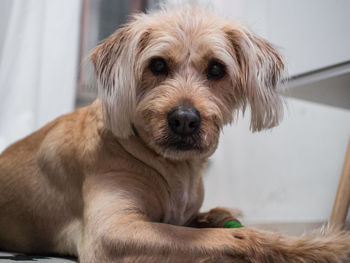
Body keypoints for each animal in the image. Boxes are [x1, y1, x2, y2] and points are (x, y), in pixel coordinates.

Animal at [0, 4, 350, 263]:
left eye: (216, 69)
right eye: (157, 65)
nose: (183, 119)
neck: (175, 168)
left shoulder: (182, 216)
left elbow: (216, 222)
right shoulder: (111, 232)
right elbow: (234, 236)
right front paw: (326, 246)